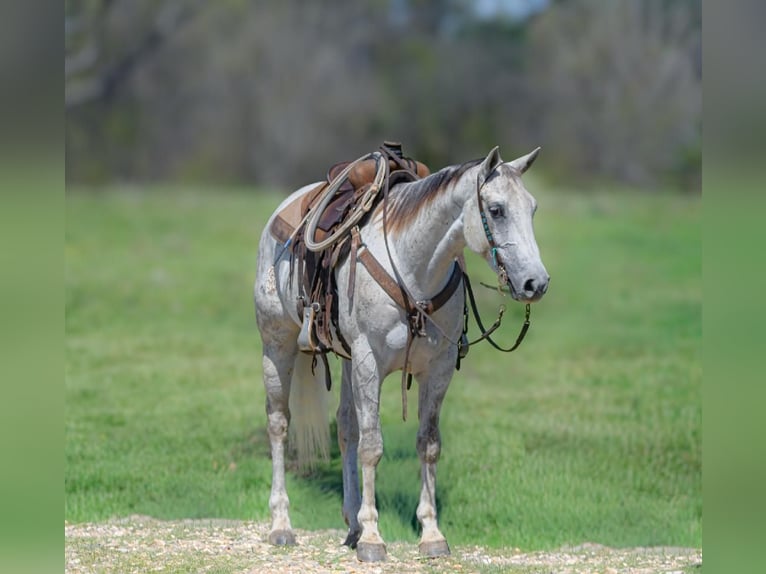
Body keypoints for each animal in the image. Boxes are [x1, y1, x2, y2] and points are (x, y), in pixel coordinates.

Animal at [253, 145, 549, 562]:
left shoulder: (438, 369)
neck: (413, 271)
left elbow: (427, 445)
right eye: (496, 209)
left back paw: (351, 525)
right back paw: (282, 525)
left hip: (345, 360)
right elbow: (373, 446)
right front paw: (373, 539)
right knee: (279, 424)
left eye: (532, 208)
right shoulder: (368, 363)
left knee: (346, 428)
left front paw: (430, 534)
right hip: (276, 344)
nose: (536, 283)